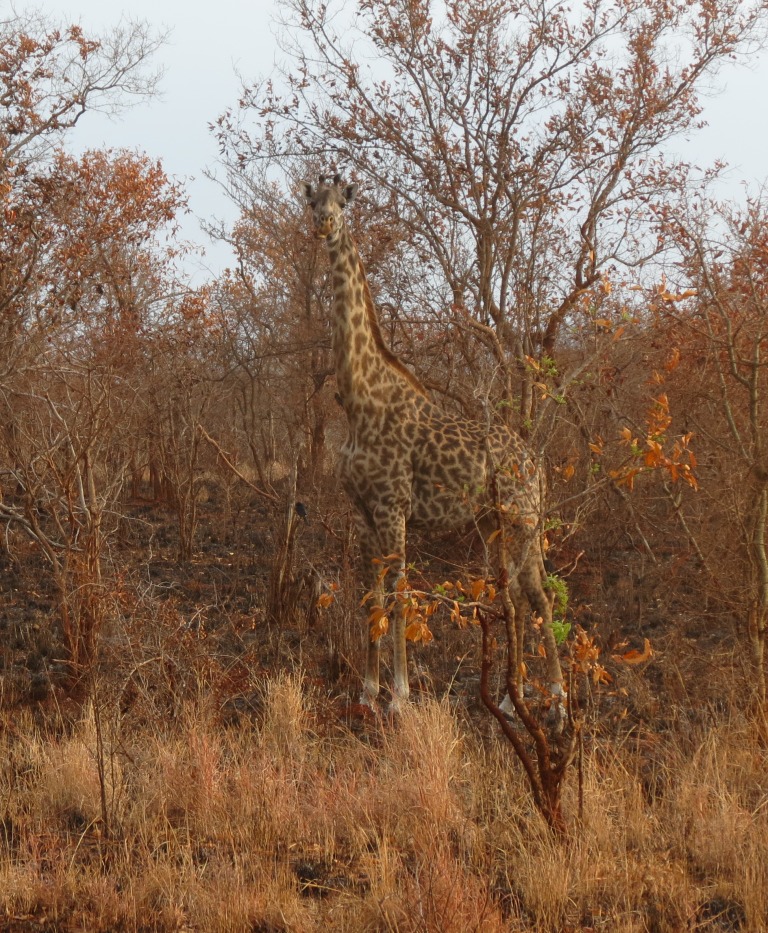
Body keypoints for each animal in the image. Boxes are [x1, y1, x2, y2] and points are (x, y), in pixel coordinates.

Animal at [304, 175, 564, 713]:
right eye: (312, 200)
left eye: (343, 201)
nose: (324, 224)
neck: (359, 399)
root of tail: (537, 462)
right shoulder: (363, 512)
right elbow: (372, 599)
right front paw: (367, 691)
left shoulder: (394, 507)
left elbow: (402, 597)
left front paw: (400, 696)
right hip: (492, 524)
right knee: (513, 596)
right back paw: (508, 697)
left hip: (522, 518)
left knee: (538, 594)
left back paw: (555, 695)